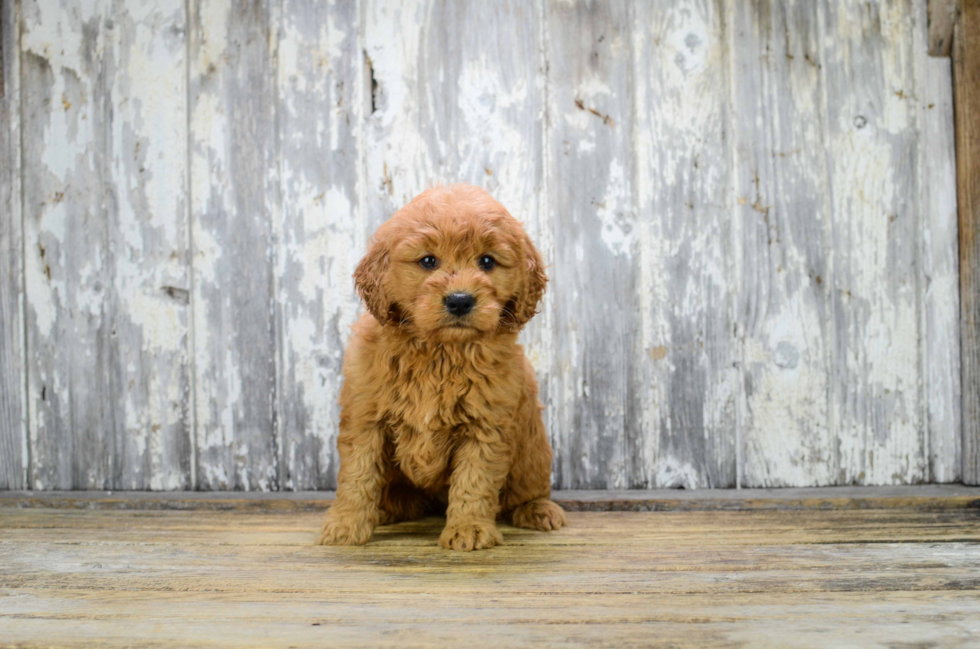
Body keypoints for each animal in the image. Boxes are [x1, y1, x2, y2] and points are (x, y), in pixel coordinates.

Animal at [320, 184, 568, 552]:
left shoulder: (486, 424)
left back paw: (537, 509)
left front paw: (469, 529)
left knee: (526, 490)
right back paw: (387, 508)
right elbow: (357, 474)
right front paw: (346, 524)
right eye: (428, 261)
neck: (439, 350)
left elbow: (474, 479)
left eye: (487, 261)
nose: (460, 300)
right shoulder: (365, 418)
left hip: (533, 451)